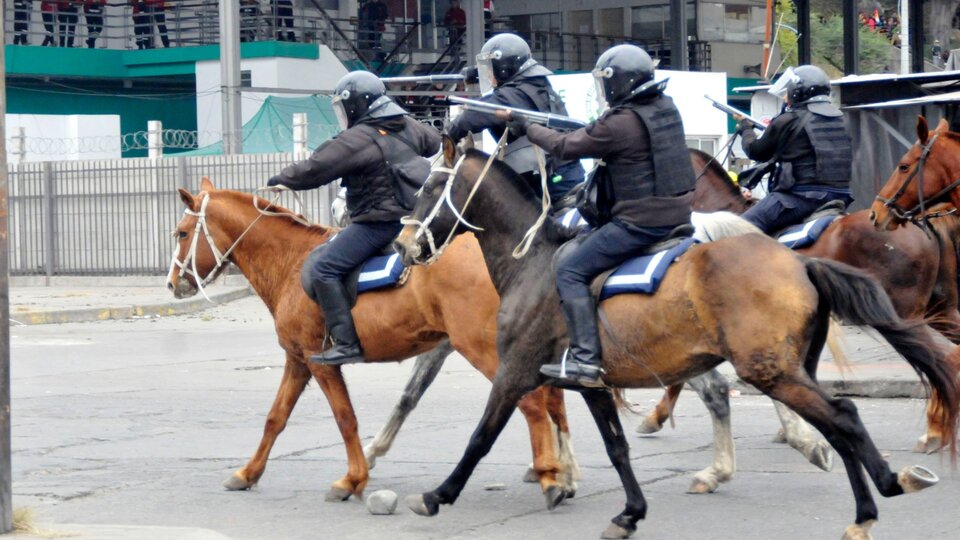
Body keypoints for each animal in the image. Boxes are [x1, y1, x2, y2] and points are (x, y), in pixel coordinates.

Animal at [165, 177, 576, 506]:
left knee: (534, 404)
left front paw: (352, 479)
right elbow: (275, 418)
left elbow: (345, 418)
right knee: (549, 400)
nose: (172, 283)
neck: (293, 263)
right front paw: (248, 473)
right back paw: (560, 472)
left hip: (482, 348)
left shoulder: (318, 361)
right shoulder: (297, 361)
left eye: (182, 233)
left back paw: (550, 475)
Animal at [392, 139, 960, 540]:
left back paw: (879, 491)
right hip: (792, 369)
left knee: (842, 417)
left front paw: (439, 494)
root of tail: (799, 261)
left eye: (428, 189)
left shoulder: (513, 373)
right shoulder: (593, 384)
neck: (533, 261)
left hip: (771, 370)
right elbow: (617, 447)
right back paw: (865, 501)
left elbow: (480, 438)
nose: (402, 245)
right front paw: (630, 512)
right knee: (836, 425)